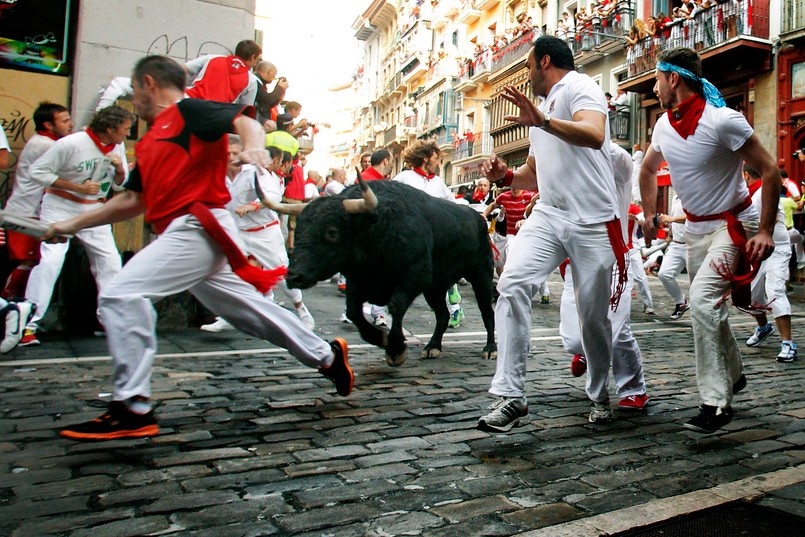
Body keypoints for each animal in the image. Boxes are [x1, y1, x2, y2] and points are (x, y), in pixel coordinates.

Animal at [282, 178, 496, 366]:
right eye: (299, 229)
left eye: (332, 232)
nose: (293, 276)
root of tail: (478, 219)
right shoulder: (358, 282)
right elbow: (353, 311)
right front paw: (378, 338)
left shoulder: (415, 276)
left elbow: (396, 306)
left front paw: (395, 350)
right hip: (435, 288)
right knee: (442, 315)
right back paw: (432, 347)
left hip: (481, 276)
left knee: (487, 311)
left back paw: (490, 349)